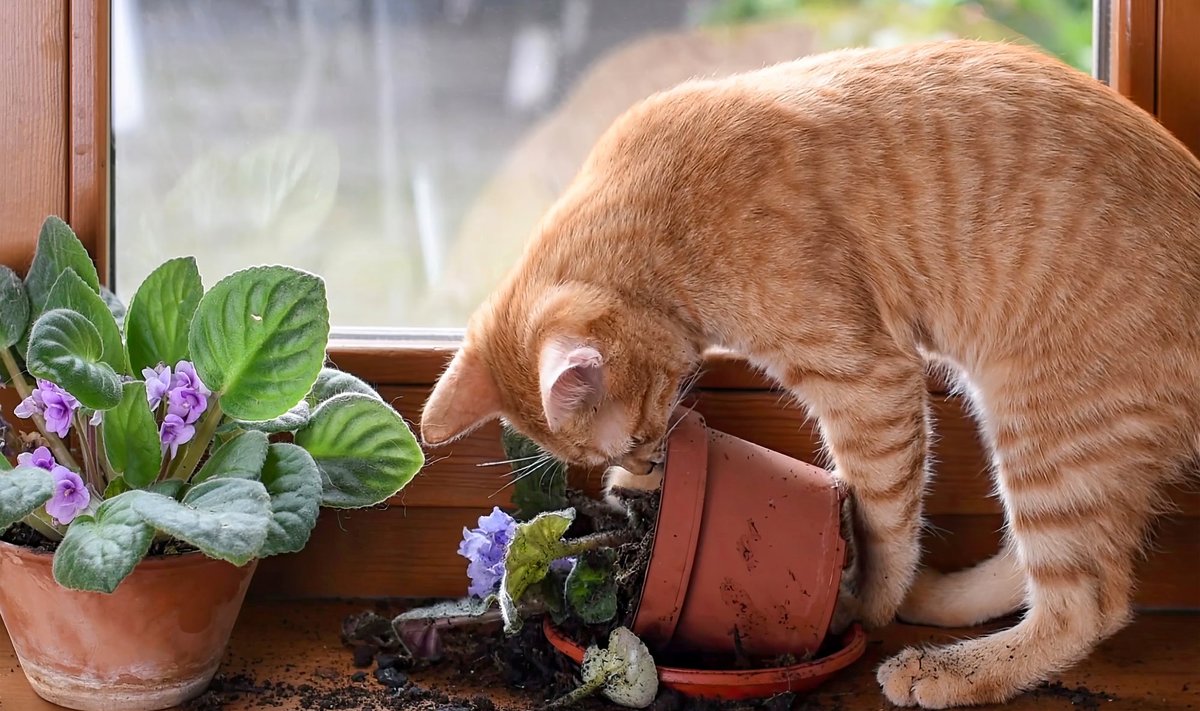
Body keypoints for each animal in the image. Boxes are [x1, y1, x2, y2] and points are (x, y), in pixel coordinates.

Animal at [420, 41, 1200, 706]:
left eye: (637, 433)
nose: (643, 459)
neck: (663, 222)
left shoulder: (870, 383)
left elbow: (880, 517)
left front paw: (864, 601)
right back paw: (940, 603)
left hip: (1047, 430)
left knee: (1086, 602)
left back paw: (951, 669)